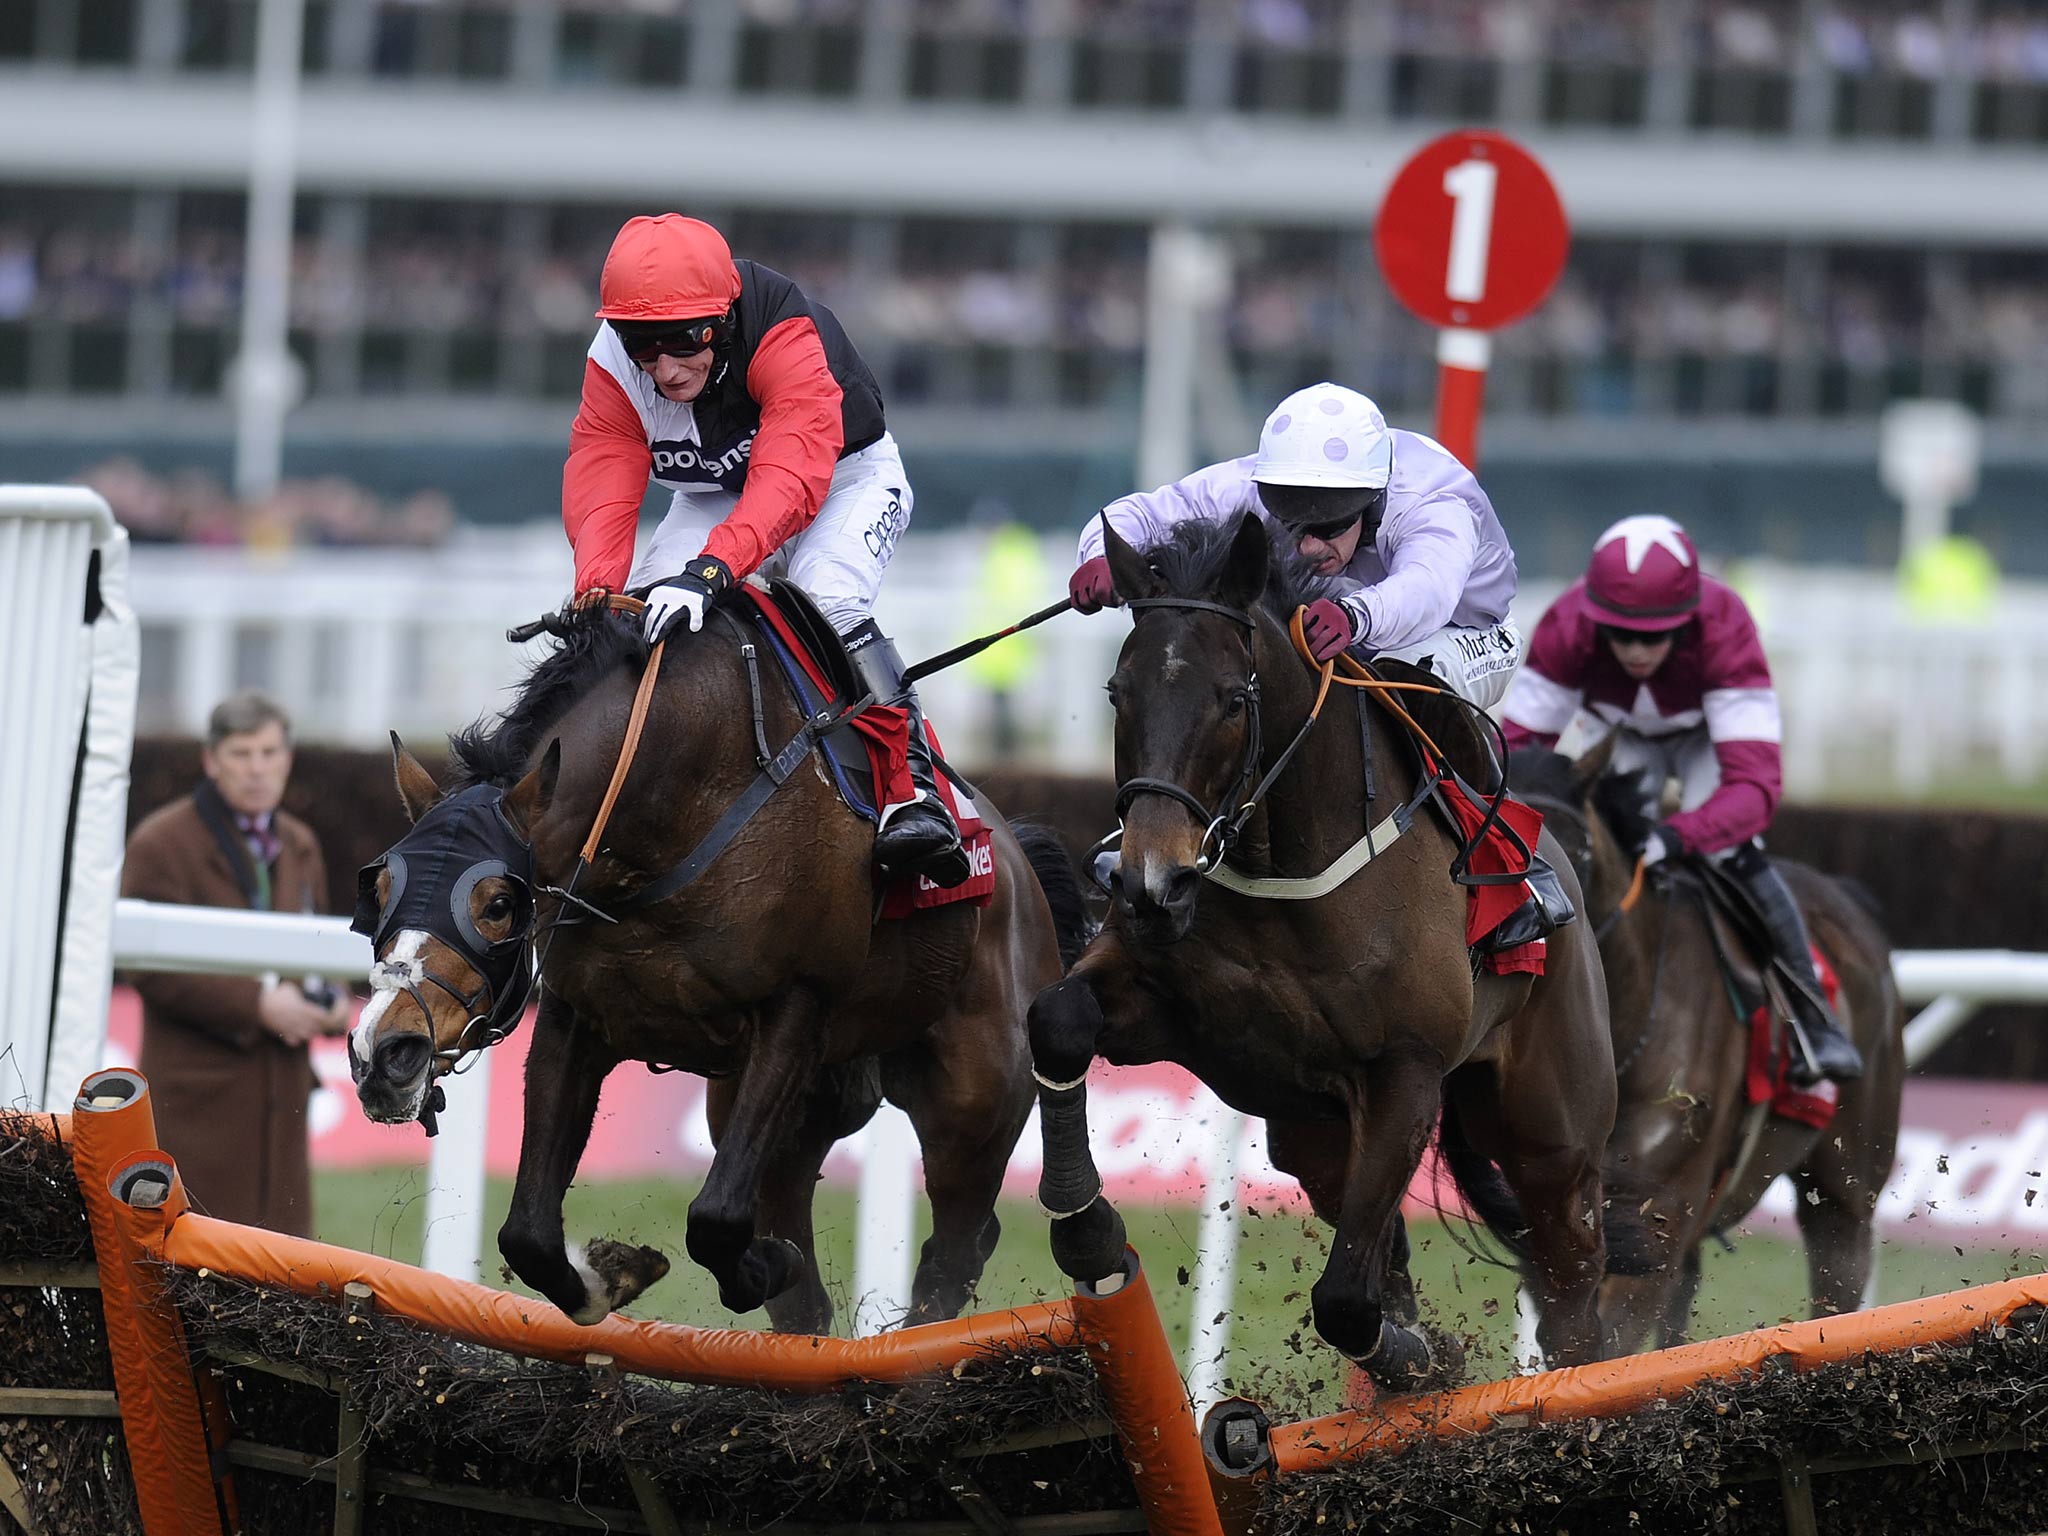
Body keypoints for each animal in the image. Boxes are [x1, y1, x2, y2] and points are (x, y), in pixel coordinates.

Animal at [1032, 514, 1638, 1384]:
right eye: (1119, 693)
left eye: (1234, 698)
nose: (1154, 882)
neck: (1283, 867)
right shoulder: (1181, 1016)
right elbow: (1058, 1017)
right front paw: (1088, 1232)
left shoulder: (1405, 1072)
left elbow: (1347, 1301)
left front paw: (1426, 1359)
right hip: (1313, 1137)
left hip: (1553, 1140)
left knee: (1571, 1285)